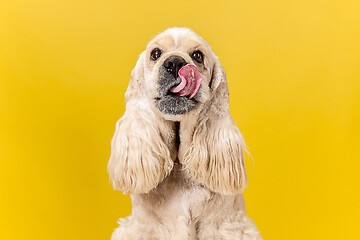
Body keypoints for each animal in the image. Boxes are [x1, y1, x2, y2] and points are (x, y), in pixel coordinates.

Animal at [107, 27, 262, 239]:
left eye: (197, 55)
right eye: (155, 53)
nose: (174, 63)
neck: (179, 169)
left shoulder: (225, 226)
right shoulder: (143, 227)